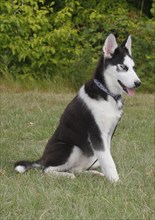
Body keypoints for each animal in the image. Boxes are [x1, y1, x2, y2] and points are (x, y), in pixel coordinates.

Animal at [15, 34, 141, 182]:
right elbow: (109, 161)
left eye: (133, 67)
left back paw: (92, 173)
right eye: (123, 67)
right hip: (72, 148)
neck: (107, 94)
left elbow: (106, 158)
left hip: (90, 154)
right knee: (47, 169)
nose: (138, 83)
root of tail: (42, 158)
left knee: (77, 169)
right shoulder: (96, 134)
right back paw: (66, 175)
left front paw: (109, 178)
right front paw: (116, 182)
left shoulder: (108, 134)